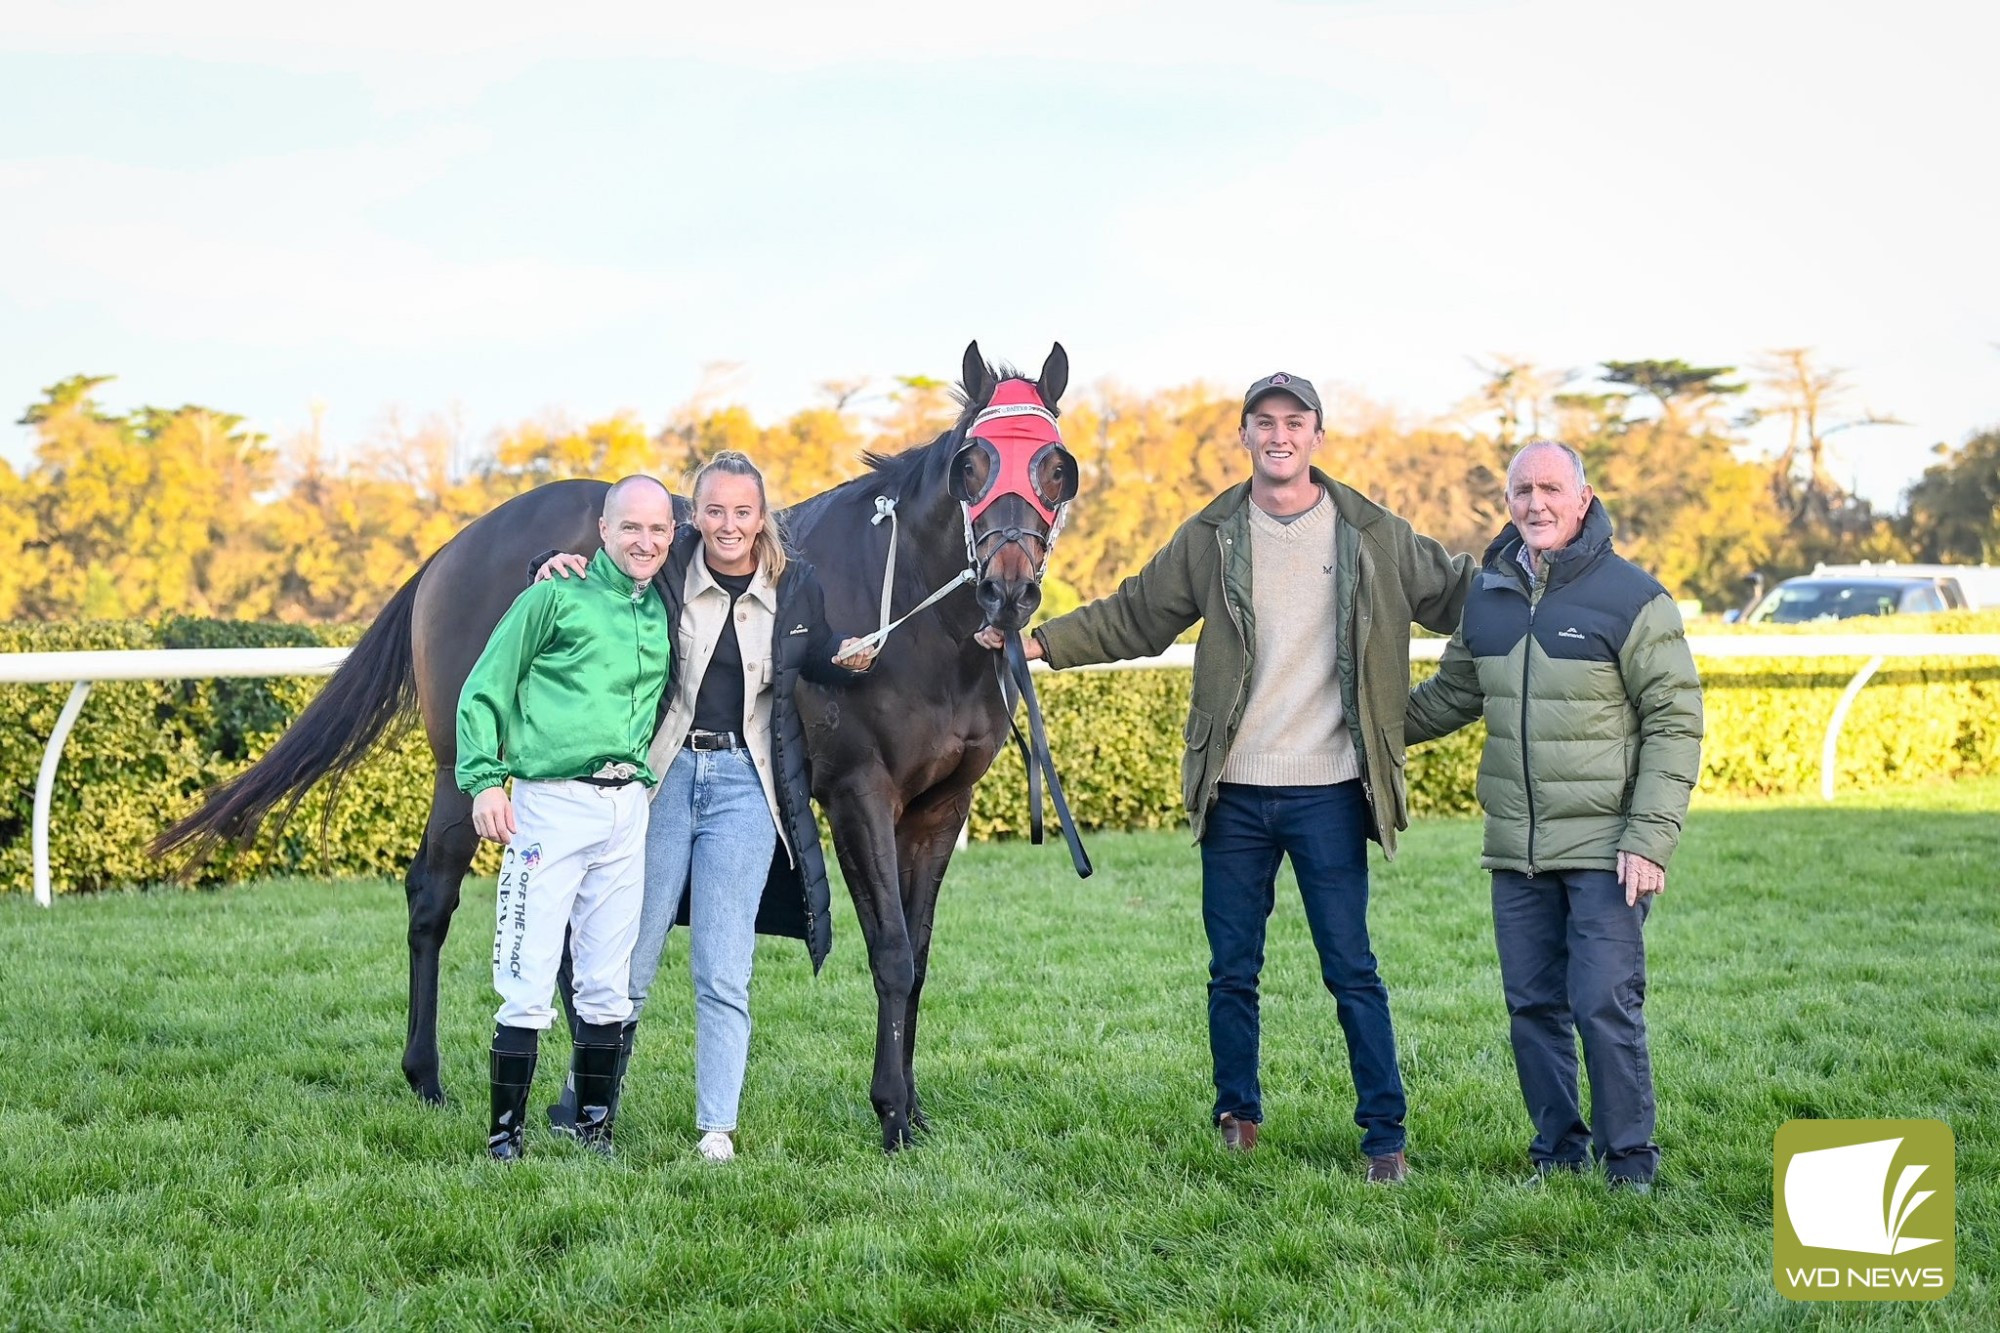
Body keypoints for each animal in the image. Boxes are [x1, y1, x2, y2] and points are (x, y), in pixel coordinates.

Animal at [152, 338, 1080, 1144]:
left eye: (1054, 466)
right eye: (971, 463)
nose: (1009, 589)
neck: (913, 625)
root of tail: (453, 546)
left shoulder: (939, 806)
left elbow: (916, 958)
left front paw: (913, 1107)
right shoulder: (858, 794)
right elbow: (888, 951)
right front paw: (889, 1114)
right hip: (463, 772)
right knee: (431, 897)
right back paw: (429, 1075)